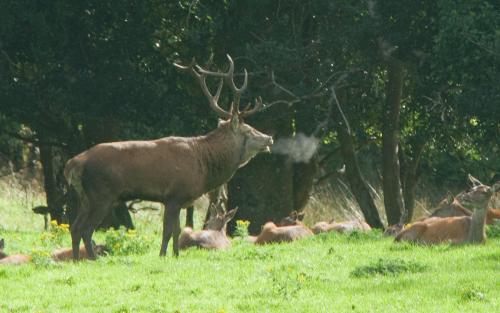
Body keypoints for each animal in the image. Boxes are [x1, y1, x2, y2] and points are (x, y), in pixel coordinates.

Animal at [65, 55, 274, 258]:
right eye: (248, 130)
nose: (269, 138)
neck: (204, 166)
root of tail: (73, 164)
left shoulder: (178, 200)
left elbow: (176, 230)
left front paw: (176, 255)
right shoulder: (175, 195)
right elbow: (168, 231)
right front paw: (163, 255)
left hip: (85, 197)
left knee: (75, 227)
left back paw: (76, 259)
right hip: (102, 194)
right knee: (86, 229)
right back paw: (93, 258)